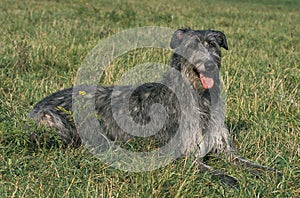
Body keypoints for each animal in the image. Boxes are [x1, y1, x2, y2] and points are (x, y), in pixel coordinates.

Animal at [28, 27, 282, 186]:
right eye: (192, 46)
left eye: (212, 44)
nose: (209, 65)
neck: (200, 99)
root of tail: (37, 105)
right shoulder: (183, 157)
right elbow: (217, 173)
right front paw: (231, 180)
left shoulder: (226, 151)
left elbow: (250, 164)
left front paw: (275, 172)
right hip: (56, 121)